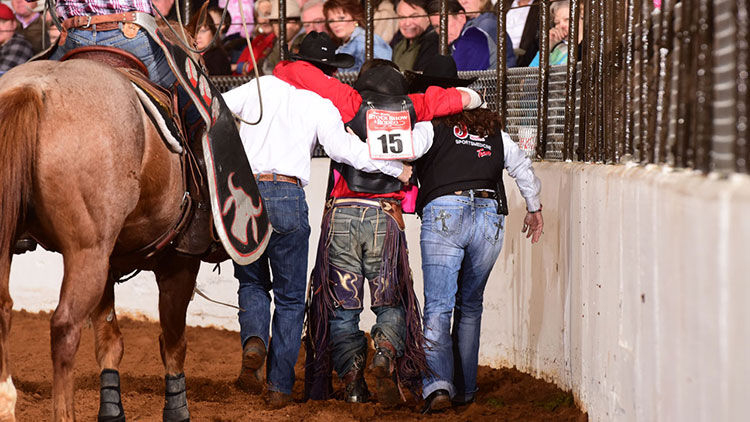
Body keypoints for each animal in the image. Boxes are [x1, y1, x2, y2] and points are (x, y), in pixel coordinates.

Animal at [0, 58, 204, 418]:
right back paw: (63, 414)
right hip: (87, 253)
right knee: (65, 326)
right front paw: (177, 410)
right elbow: (172, 340)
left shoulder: (110, 264)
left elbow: (110, 340)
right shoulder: (179, 262)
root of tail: (33, 89)